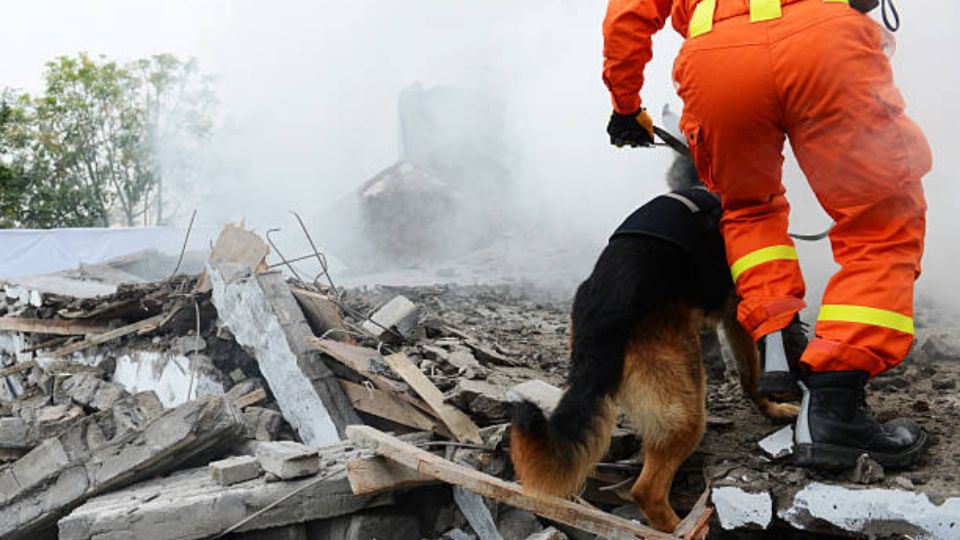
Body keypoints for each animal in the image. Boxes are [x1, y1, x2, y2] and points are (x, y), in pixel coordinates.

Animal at [510, 155, 804, 532]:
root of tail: (602, 317)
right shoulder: (737, 310)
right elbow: (751, 372)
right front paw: (772, 406)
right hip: (685, 405)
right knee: (647, 490)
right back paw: (682, 527)